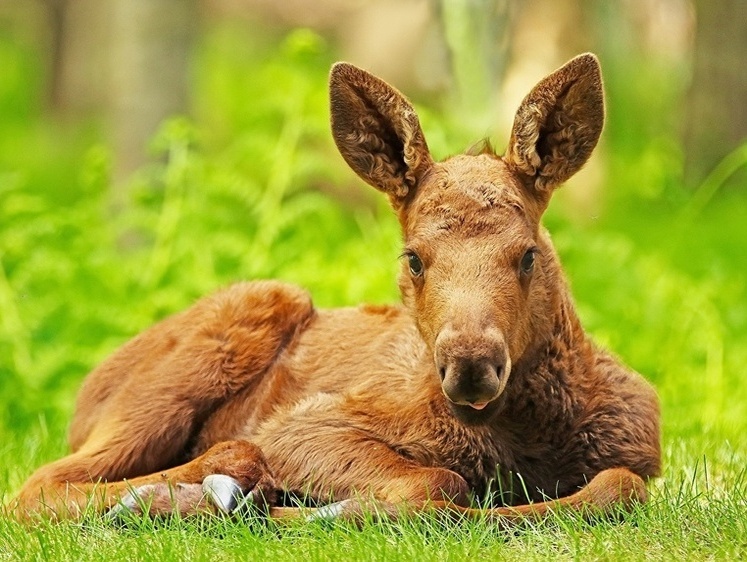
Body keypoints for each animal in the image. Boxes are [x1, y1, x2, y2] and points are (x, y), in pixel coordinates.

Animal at [13, 54, 660, 524]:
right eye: (414, 258)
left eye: (528, 254)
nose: (471, 364)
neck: (523, 440)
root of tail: (86, 397)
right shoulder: (305, 425)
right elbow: (439, 481)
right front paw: (306, 511)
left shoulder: (640, 451)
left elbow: (617, 485)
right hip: (246, 315)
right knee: (38, 485)